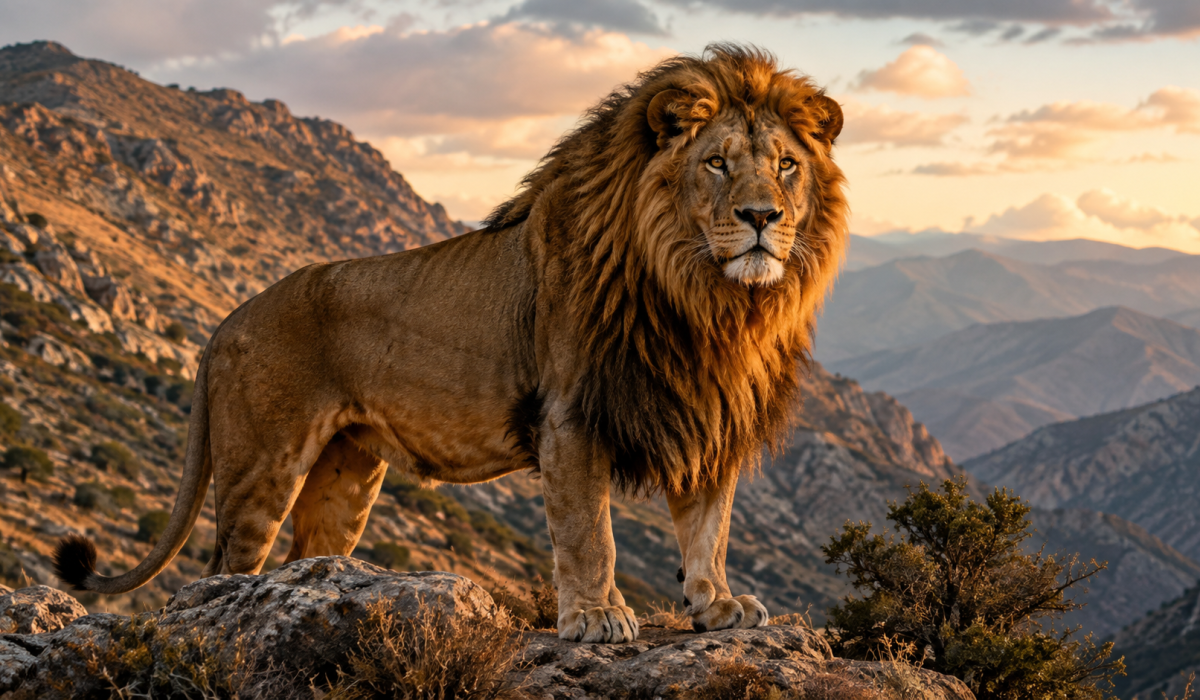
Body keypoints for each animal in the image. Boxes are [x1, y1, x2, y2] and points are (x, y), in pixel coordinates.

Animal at [54, 44, 848, 644]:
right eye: (717, 162)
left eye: (785, 164)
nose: (762, 217)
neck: (711, 301)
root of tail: (225, 323)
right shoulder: (570, 416)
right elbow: (589, 532)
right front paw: (595, 617)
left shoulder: (706, 409)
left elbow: (710, 525)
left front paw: (717, 605)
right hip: (262, 467)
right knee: (219, 571)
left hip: (345, 478)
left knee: (306, 562)